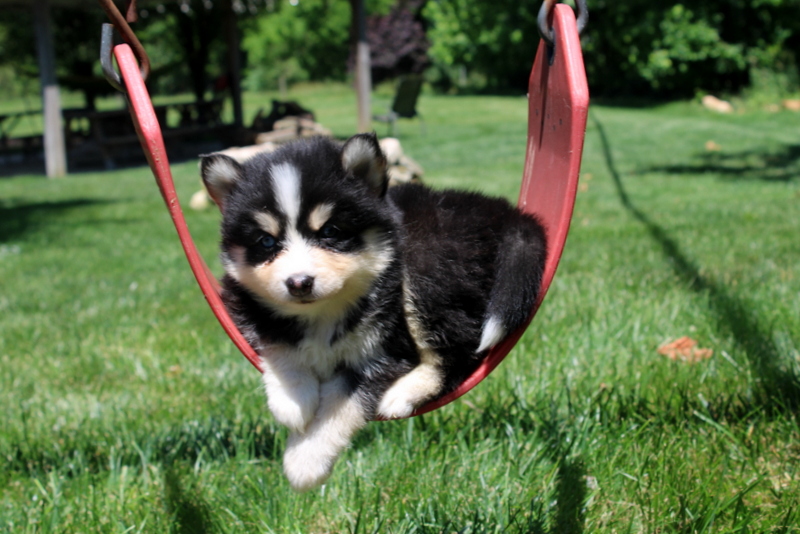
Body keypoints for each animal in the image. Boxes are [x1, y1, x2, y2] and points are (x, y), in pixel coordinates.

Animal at [203, 134, 548, 494]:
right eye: (266, 241)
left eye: (330, 231)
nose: (298, 283)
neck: (324, 313)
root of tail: (499, 209)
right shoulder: (240, 300)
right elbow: (275, 340)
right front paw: (293, 397)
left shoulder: (384, 353)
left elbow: (340, 407)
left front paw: (306, 459)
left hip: (425, 266)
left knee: (458, 349)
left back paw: (404, 393)